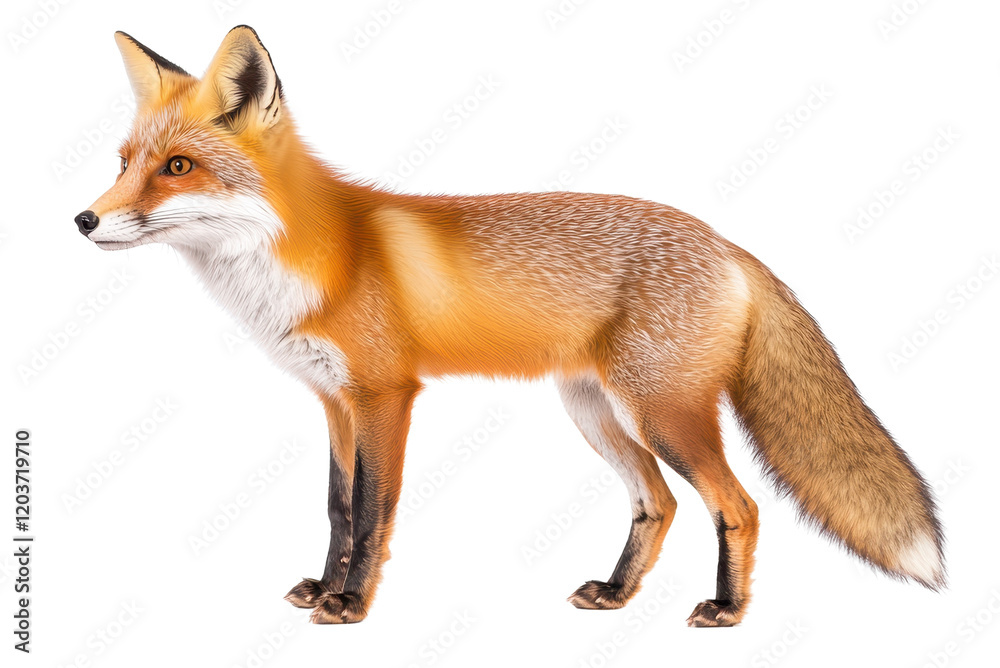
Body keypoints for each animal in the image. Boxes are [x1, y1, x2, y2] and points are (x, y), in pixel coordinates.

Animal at [75, 26, 944, 626]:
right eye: (123, 162)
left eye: (178, 168)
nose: (84, 220)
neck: (309, 260)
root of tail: (725, 242)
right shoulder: (333, 401)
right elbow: (336, 508)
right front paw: (323, 586)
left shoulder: (387, 397)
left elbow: (373, 511)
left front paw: (349, 606)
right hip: (596, 413)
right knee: (657, 504)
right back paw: (616, 593)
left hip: (664, 414)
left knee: (740, 505)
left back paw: (727, 611)